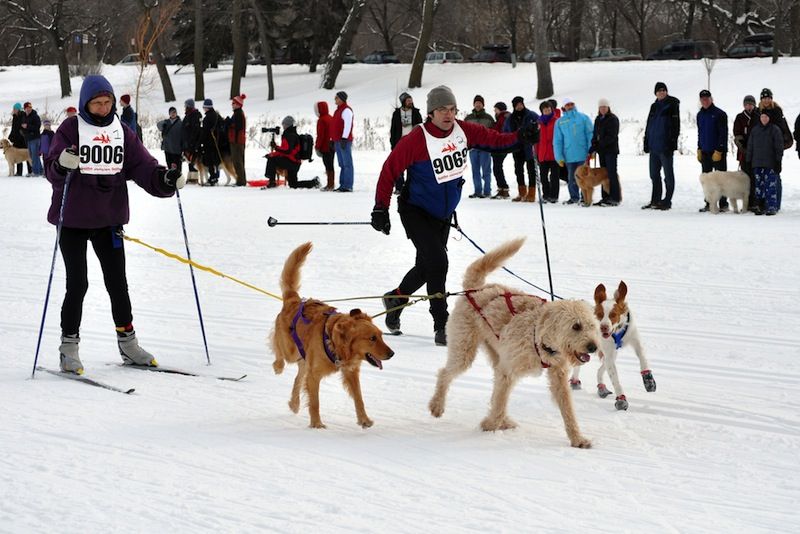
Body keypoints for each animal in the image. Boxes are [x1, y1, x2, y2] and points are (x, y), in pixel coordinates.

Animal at [272, 243, 394, 432]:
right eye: (372, 338)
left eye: (381, 336)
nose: (392, 354)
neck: (335, 343)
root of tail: (295, 300)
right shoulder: (314, 375)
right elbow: (315, 402)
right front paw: (316, 424)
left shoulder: (351, 373)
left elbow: (359, 399)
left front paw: (364, 420)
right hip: (290, 351)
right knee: (278, 349)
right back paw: (278, 366)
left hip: (304, 358)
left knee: (298, 377)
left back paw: (294, 403)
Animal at [432, 239, 600, 448]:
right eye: (576, 326)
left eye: (592, 326)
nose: (593, 347)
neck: (539, 337)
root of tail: (474, 289)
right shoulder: (508, 371)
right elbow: (499, 403)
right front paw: (489, 424)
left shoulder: (558, 377)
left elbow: (568, 410)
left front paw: (577, 438)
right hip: (465, 350)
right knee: (445, 373)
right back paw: (437, 405)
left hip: (495, 355)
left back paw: (504, 421)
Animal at [572, 282, 660, 412]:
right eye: (600, 315)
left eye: (613, 315)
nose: (603, 327)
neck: (616, 331)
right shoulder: (608, 353)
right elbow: (615, 379)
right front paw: (621, 400)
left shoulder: (635, 340)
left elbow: (642, 358)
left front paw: (648, 380)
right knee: (578, 365)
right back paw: (574, 381)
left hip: (612, 354)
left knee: (599, 370)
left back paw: (601, 388)